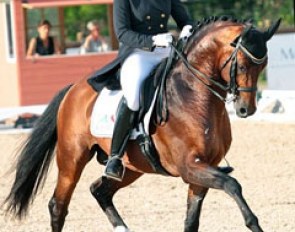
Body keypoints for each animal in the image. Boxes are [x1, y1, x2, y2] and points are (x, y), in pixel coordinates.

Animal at [2, 16, 280, 232]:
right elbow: (232, 185)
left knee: (100, 191)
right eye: (241, 65)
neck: (193, 95)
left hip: (131, 166)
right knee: (58, 205)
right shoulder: (190, 166)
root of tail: (74, 89)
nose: (246, 109)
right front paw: (254, 223)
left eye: (264, 65)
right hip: (72, 160)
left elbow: (191, 222)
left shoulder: (202, 170)